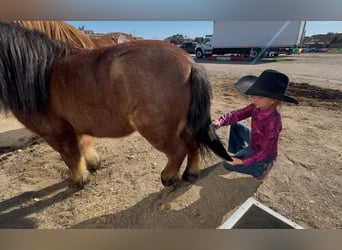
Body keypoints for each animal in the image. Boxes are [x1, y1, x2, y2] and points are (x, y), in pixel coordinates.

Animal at [0, 22, 232, 188]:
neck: (42, 71)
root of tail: (190, 63)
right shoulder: (75, 126)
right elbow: (84, 145)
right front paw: (93, 165)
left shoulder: (56, 132)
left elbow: (71, 156)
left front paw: (79, 180)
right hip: (181, 124)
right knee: (193, 143)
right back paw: (190, 174)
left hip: (155, 128)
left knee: (178, 150)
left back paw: (168, 177)